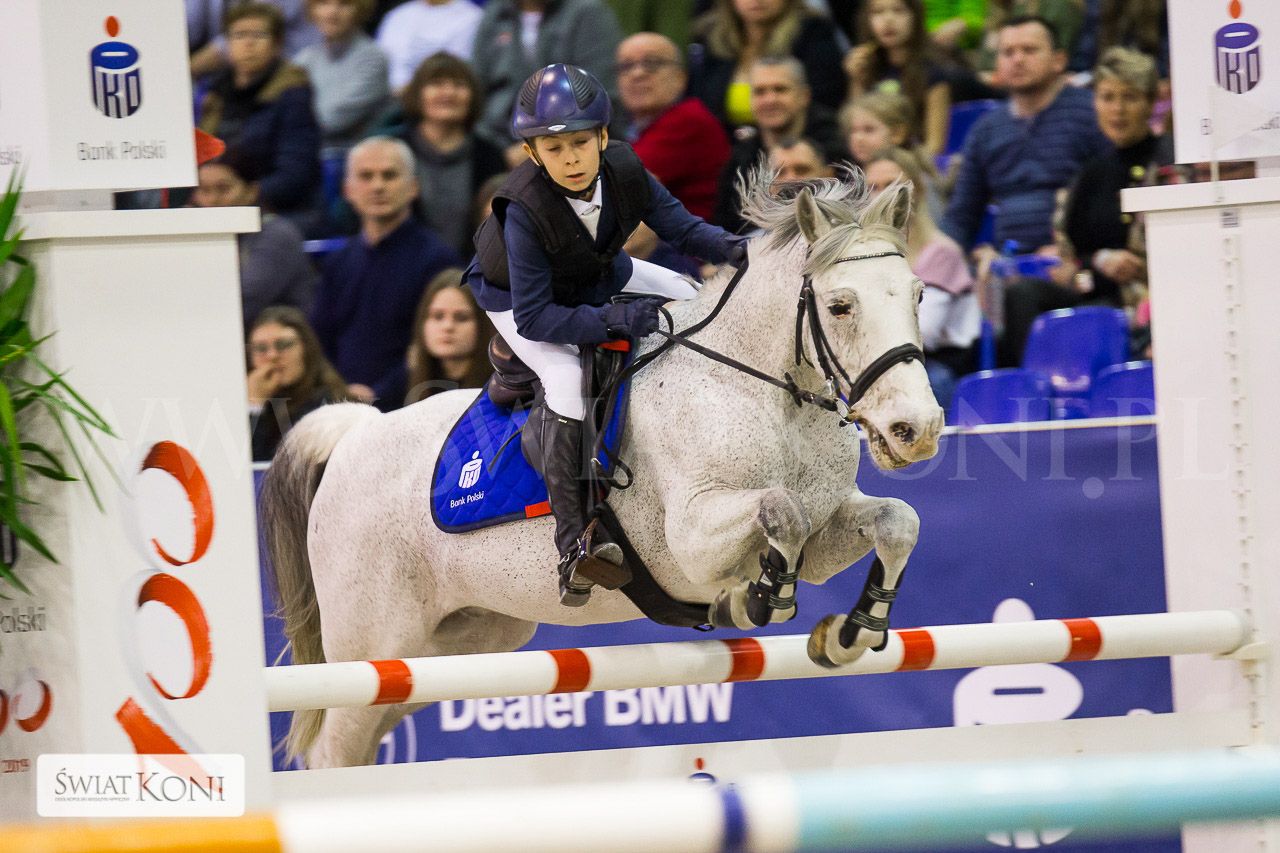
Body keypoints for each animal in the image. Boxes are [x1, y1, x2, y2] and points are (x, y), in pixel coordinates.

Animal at [262, 170, 945, 768]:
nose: (918, 430)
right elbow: (783, 512)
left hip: (455, 647)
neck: (769, 394)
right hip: (373, 645)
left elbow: (897, 521)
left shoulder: (830, 529)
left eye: (918, 295)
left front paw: (854, 632)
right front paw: (754, 600)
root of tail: (354, 435)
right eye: (840, 306)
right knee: (333, 749)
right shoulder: (692, 539)